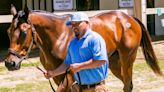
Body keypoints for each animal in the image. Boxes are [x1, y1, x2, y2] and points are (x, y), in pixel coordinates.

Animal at [4, 5, 162, 92]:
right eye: (8, 31)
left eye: (24, 32)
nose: (10, 63)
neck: (58, 36)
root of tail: (130, 18)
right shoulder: (56, 76)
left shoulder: (69, 75)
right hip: (114, 62)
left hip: (127, 59)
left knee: (127, 85)